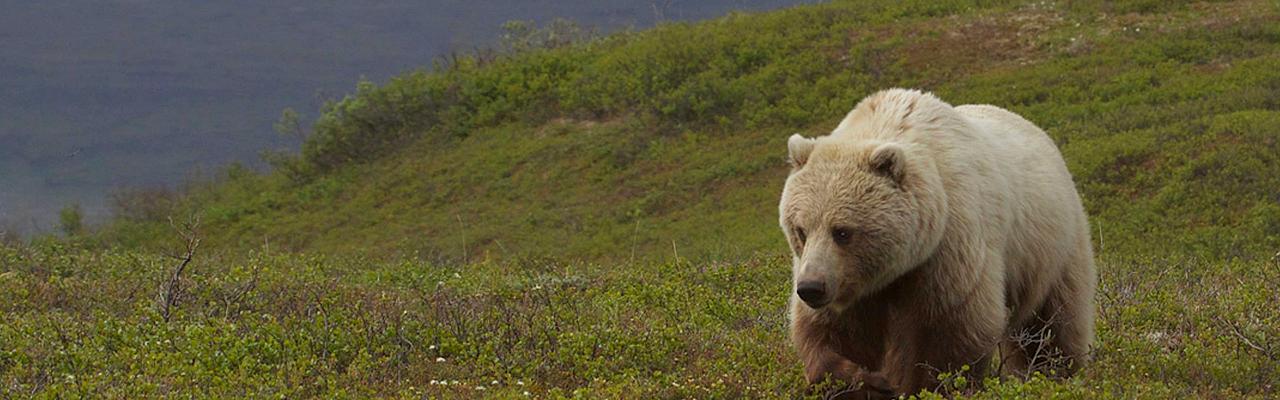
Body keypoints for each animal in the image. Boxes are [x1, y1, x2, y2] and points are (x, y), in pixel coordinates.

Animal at [778, 88, 1100, 397]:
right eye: (801, 230)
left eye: (842, 231)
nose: (811, 287)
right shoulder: (852, 284)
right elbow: (834, 333)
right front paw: (865, 381)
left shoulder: (950, 246)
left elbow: (953, 329)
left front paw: (923, 386)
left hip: (1052, 249)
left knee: (1053, 325)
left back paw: (1058, 373)